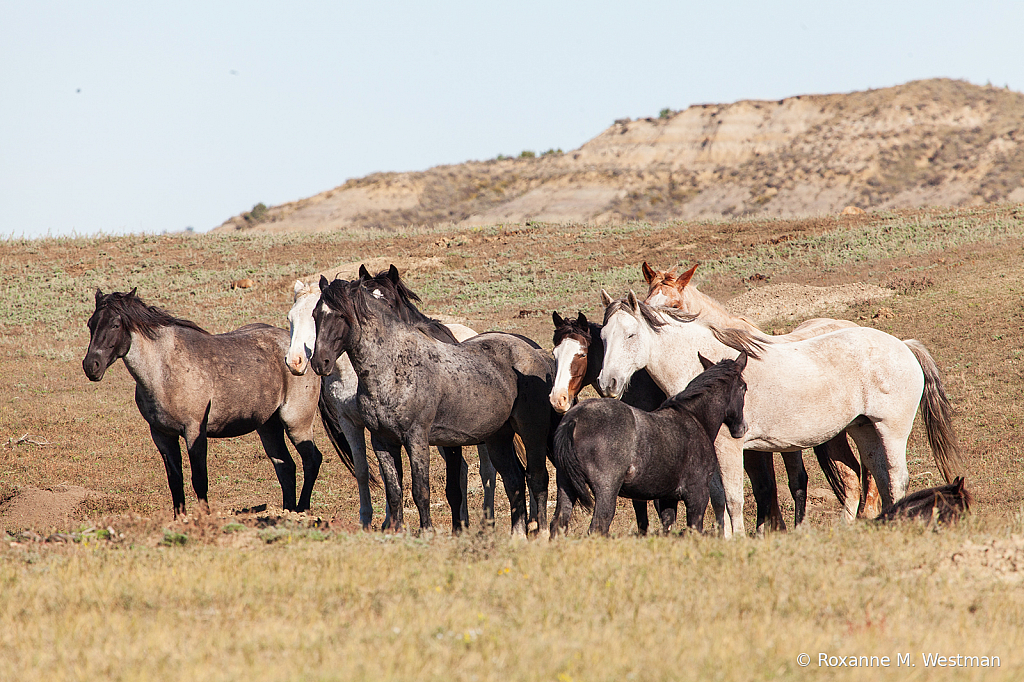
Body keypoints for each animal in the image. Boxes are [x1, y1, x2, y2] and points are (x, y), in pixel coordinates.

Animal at [83, 286, 323, 516]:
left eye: (115, 324)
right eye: (91, 324)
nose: (91, 365)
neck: (165, 371)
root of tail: (301, 354)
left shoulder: (194, 431)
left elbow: (199, 480)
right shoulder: (162, 435)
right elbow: (175, 481)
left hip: (296, 423)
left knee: (312, 460)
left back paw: (302, 509)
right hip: (268, 427)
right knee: (285, 466)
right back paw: (288, 511)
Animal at [282, 278, 493, 528]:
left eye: (313, 316)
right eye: (292, 318)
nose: (296, 361)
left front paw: (388, 521)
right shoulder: (351, 423)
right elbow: (365, 471)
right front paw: (368, 519)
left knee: (487, 472)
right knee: (462, 470)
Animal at [309, 274, 557, 532]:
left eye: (340, 315)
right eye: (316, 315)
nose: (320, 362)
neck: (393, 367)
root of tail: (537, 355)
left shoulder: (417, 439)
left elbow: (421, 491)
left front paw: (426, 531)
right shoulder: (382, 442)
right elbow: (394, 492)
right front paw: (397, 531)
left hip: (531, 432)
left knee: (537, 478)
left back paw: (540, 531)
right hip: (498, 437)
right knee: (514, 481)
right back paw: (517, 534)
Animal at [548, 350, 749, 536]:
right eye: (744, 388)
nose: (742, 428)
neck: (695, 418)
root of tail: (574, 419)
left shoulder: (668, 498)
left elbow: (667, 528)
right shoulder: (697, 495)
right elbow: (694, 529)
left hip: (566, 485)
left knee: (558, 523)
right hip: (606, 490)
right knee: (599, 526)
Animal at [598, 288, 962, 532]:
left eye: (631, 334)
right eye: (602, 336)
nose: (608, 383)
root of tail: (903, 345)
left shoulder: (731, 448)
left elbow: (734, 498)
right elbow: (718, 498)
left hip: (891, 431)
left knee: (897, 480)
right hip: (864, 430)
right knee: (881, 481)